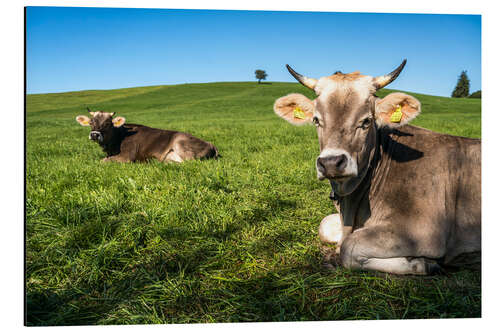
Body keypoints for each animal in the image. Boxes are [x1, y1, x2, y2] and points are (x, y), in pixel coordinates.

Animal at [75, 107, 218, 162]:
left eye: (108, 123)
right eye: (91, 122)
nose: (94, 134)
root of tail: (211, 144)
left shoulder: (127, 156)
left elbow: (102, 161)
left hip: (180, 143)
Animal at [274, 60, 480, 274]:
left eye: (366, 121)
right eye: (316, 120)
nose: (331, 163)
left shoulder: (426, 231)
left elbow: (349, 247)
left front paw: (422, 263)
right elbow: (325, 225)